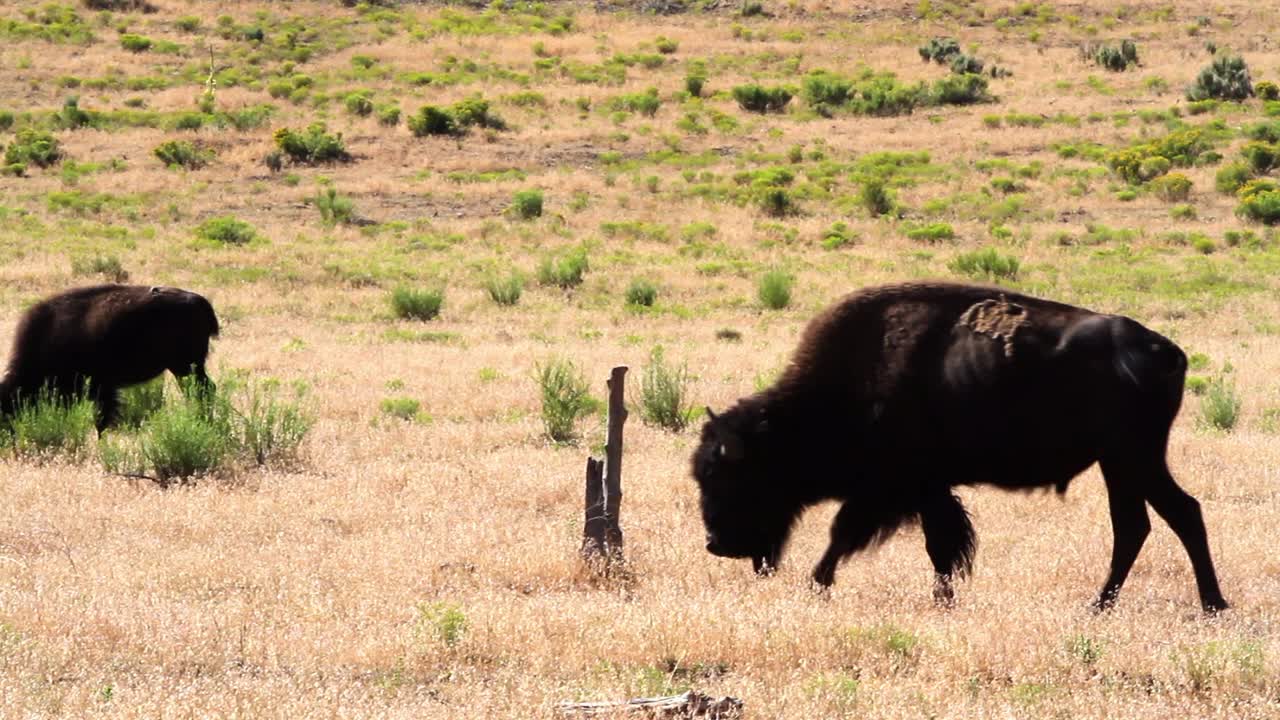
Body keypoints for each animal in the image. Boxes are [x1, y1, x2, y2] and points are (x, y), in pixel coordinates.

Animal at [0, 281, 221, 427]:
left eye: (7, 408)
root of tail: (200, 302)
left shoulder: (101, 388)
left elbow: (102, 418)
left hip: (185, 366)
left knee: (202, 390)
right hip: (185, 367)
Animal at [696, 280, 1223, 609]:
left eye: (735, 476)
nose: (716, 544)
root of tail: (1166, 350)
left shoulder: (895, 489)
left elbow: (854, 534)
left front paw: (818, 584)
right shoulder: (924, 490)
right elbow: (940, 544)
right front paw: (943, 598)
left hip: (1133, 457)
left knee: (1168, 516)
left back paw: (1197, 604)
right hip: (1123, 463)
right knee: (1148, 522)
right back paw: (1118, 605)